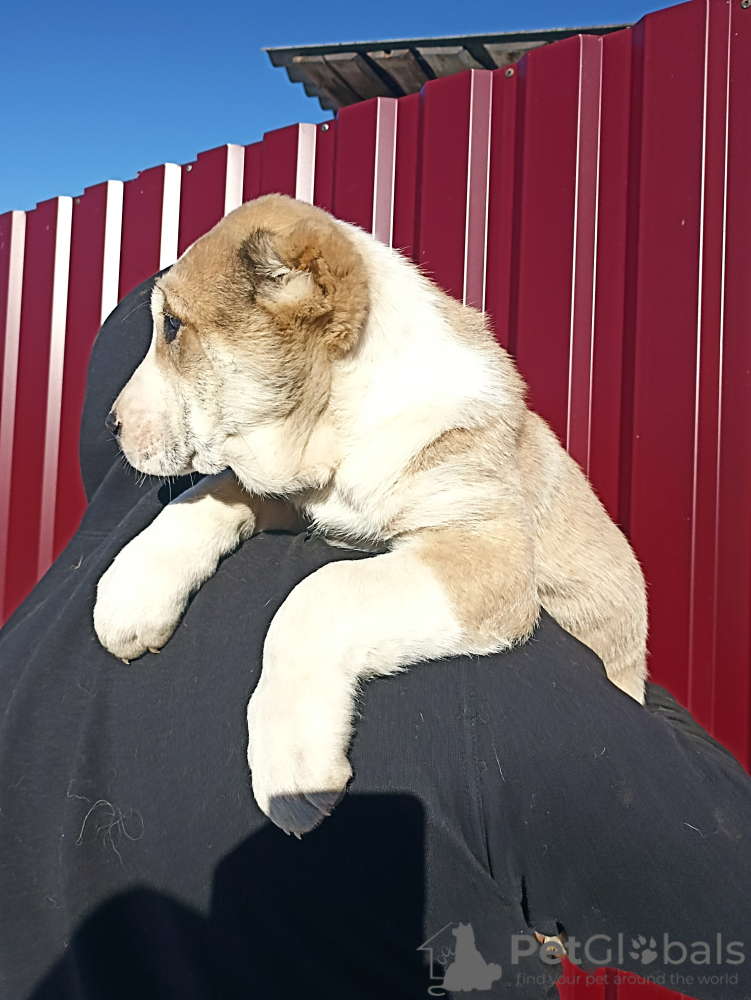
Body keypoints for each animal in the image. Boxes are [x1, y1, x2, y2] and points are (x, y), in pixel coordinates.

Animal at [92, 193, 648, 836]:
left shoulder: (487, 556)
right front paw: (132, 593)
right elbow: (211, 490)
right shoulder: (299, 495)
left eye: (173, 326)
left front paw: (292, 763)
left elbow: (321, 591)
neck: (347, 421)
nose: (110, 425)